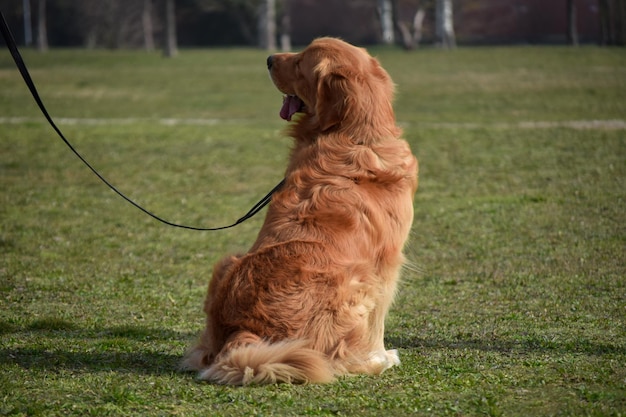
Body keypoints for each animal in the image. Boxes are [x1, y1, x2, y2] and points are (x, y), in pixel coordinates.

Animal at [183, 36, 416, 384]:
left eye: (299, 62)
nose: (268, 58)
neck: (355, 135)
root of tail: (242, 330)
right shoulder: (386, 265)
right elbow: (379, 321)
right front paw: (380, 354)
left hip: (227, 263)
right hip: (357, 280)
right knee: (337, 358)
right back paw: (374, 362)